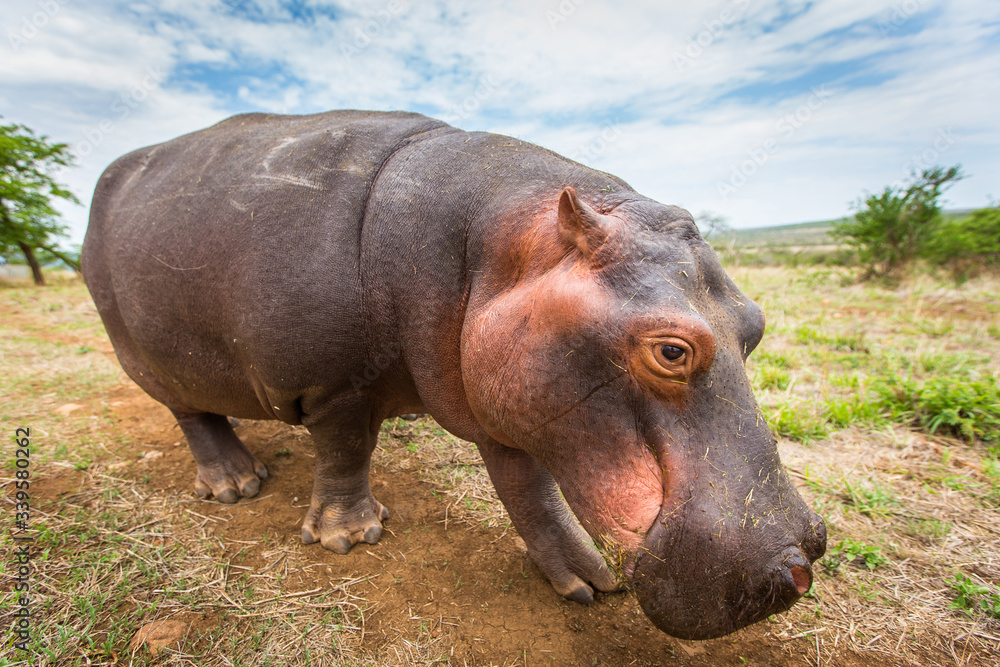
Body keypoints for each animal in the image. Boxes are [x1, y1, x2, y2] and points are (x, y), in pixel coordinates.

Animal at [80, 111, 828, 640]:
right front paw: (350, 536)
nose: (799, 561)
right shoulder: (336, 385)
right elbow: (346, 449)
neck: (490, 246)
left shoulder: (501, 390)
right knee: (192, 415)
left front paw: (587, 583)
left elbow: (530, 490)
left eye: (756, 323)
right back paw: (237, 486)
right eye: (672, 351)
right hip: (141, 351)